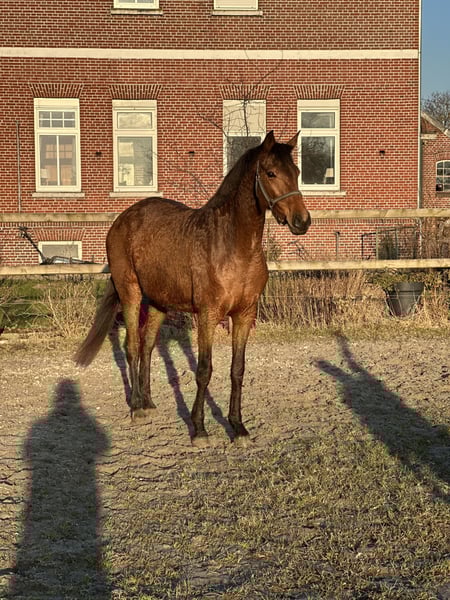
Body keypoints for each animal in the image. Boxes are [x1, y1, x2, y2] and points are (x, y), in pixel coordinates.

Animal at [75, 131, 311, 447]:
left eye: (296, 172)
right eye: (271, 173)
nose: (302, 221)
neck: (234, 245)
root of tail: (123, 220)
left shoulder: (245, 314)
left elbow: (237, 370)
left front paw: (238, 427)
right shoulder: (208, 315)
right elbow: (204, 370)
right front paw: (199, 429)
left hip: (158, 302)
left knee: (148, 346)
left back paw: (149, 402)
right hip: (130, 292)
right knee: (133, 347)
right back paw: (137, 407)